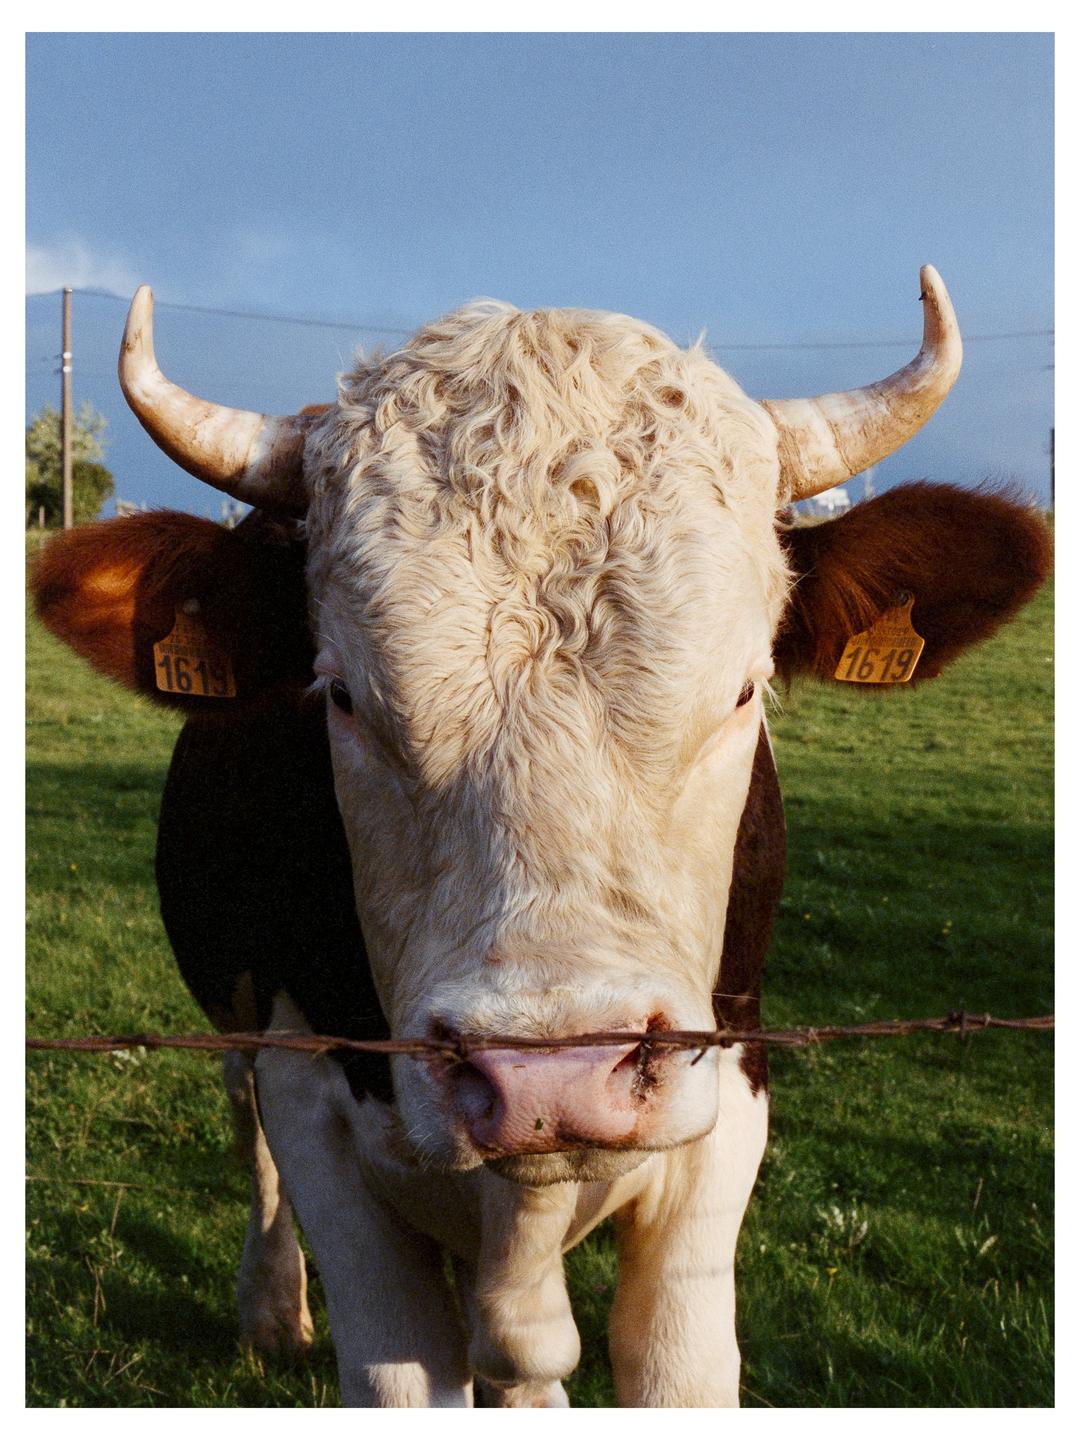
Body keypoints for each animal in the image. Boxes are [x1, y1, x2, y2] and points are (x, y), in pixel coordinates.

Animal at [32, 268, 1050, 1407]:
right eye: (339, 695)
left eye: (743, 690)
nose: (548, 1078)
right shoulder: (318, 1109)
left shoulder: (729, 1092)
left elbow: (667, 1361)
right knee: (242, 1118)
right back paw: (271, 1305)